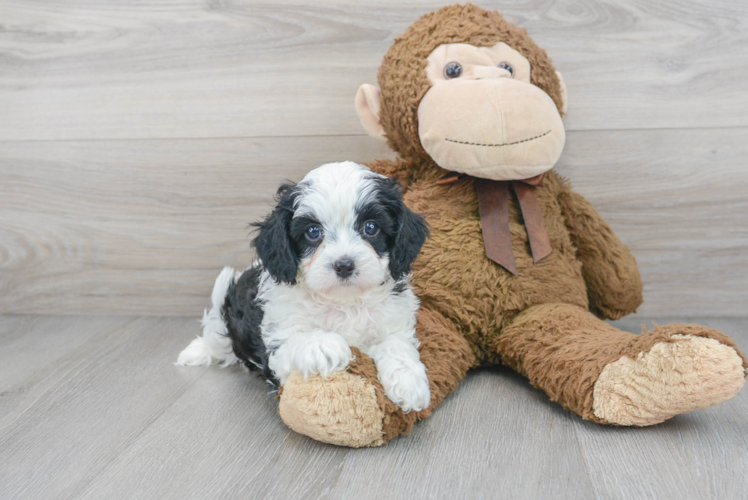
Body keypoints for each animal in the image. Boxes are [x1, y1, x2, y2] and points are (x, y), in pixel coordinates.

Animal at [177, 162, 432, 412]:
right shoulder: (278, 345)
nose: (344, 265)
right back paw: (195, 351)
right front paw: (325, 345)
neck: (344, 302)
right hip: (224, 313)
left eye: (371, 228)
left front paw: (409, 385)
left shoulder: (394, 321)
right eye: (313, 232)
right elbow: (298, 339)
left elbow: (397, 345)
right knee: (215, 338)